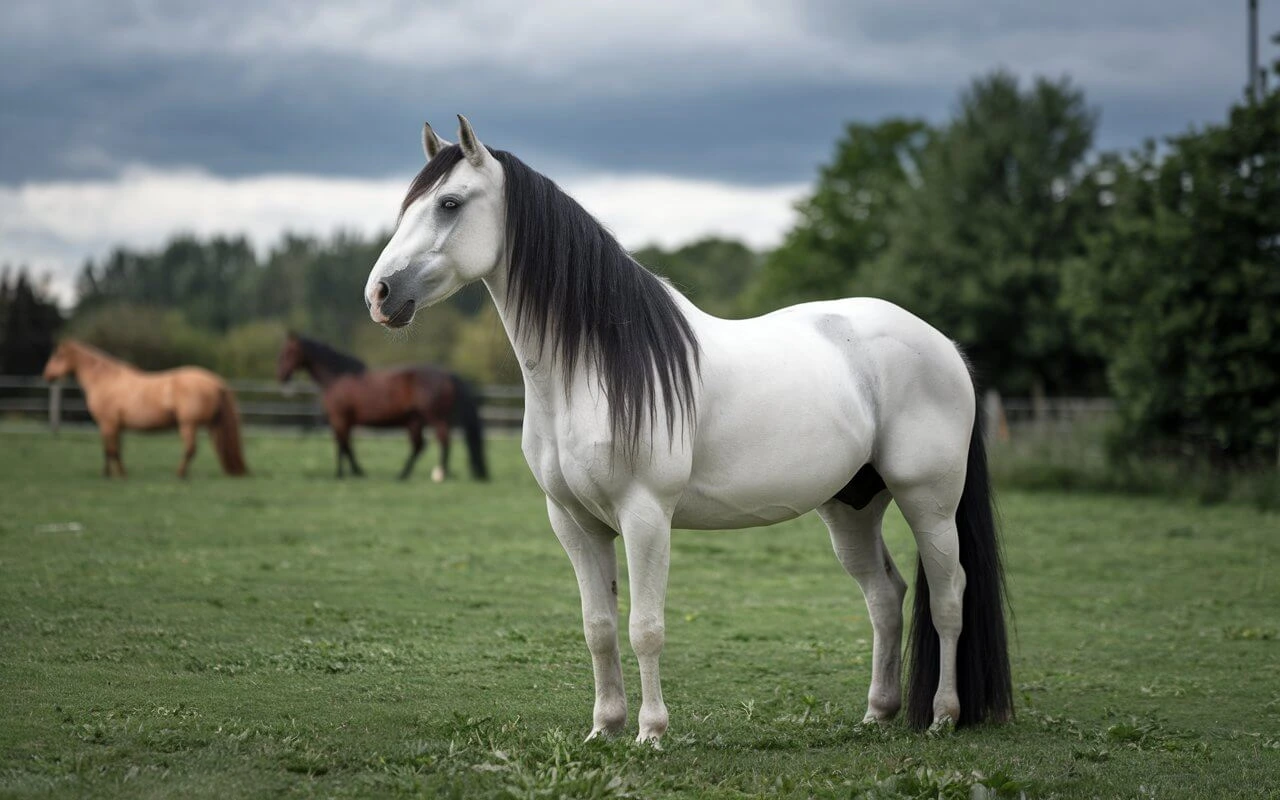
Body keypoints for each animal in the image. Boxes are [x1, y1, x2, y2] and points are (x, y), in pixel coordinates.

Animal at [41, 340, 247, 476]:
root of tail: (215, 381)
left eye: (58, 356)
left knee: (190, 449)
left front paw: (117, 475)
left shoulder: (107, 423)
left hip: (189, 424)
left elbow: (111, 450)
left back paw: (179, 474)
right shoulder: (115, 426)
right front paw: (112, 473)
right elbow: (112, 450)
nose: (47, 375)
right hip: (210, 425)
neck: (106, 381)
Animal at [273, 332, 483, 481]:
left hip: (434, 418)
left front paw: (346, 473)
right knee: (419, 446)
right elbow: (346, 445)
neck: (338, 377)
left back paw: (440, 474)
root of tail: (448, 374)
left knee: (443, 441)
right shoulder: (344, 422)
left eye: (289, 352)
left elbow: (343, 446)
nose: (281, 376)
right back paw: (402, 475)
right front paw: (354, 472)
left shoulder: (340, 419)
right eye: (282, 353)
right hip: (415, 420)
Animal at [360, 118, 1008, 742]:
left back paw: (944, 715)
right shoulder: (573, 523)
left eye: (449, 203)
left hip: (929, 500)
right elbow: (598, 627)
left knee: (949, 597)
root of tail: (943, 346)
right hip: (852, 505)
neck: (591, 370)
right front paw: (604, 727)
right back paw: (878, 713)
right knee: (885, 597)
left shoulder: (645, 515)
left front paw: (651, 732)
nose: (380, 294)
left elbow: (645, 627)